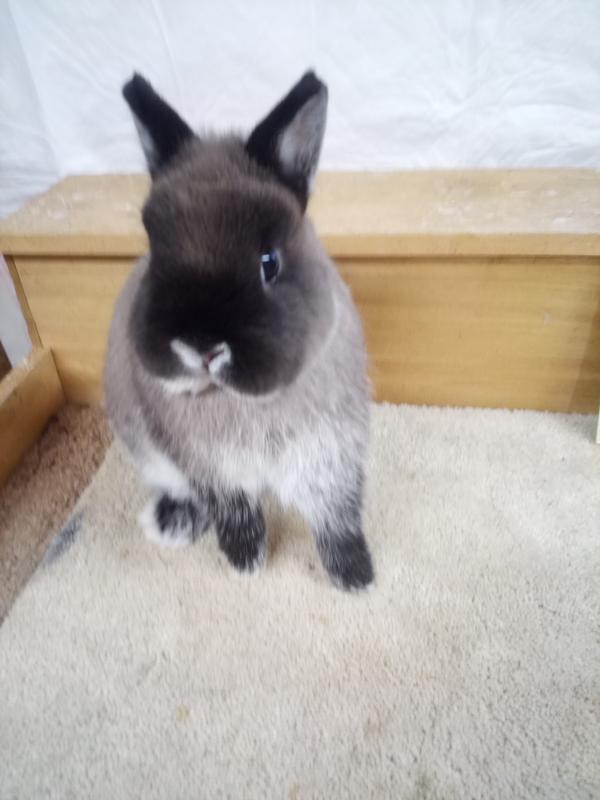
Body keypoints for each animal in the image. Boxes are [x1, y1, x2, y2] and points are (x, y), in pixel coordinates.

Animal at [104, 70, 374, 590]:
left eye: (269, 262)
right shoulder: (210, 469)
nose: (201, 346)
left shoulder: (328, 452)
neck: (245, 404)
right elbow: (235, 512)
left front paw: (356, 576)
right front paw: (246, 561)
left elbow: (335, 514)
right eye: (154, 252)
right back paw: (173, 521)